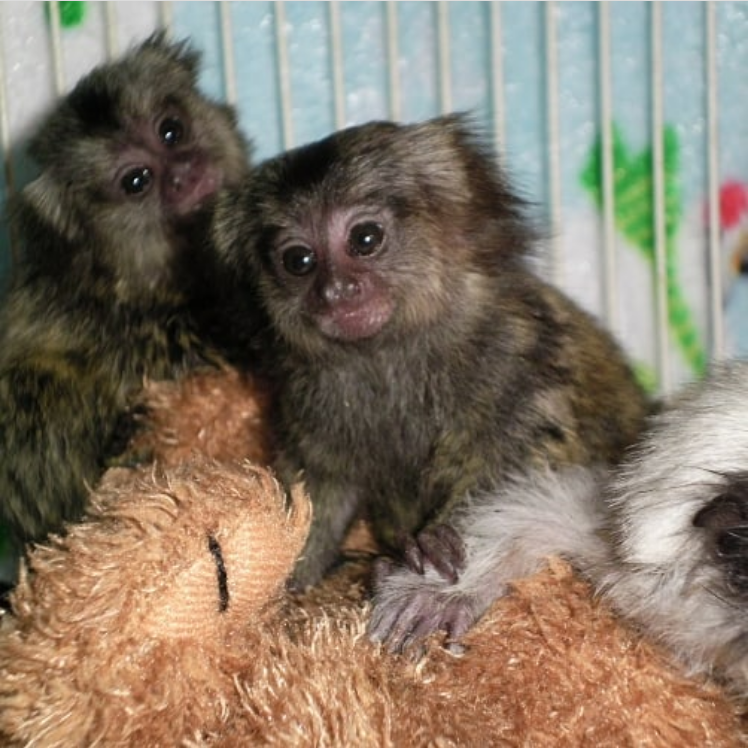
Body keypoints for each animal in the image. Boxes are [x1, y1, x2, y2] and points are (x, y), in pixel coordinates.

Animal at [212, 113, 651, 651]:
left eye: (364, 239)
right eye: (299, 261)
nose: (337, 292)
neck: (387, 356)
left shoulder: (517, 359)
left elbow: (518, 471)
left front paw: (432, 547)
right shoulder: (308, 403)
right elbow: (316, 492)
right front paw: (288, 584)